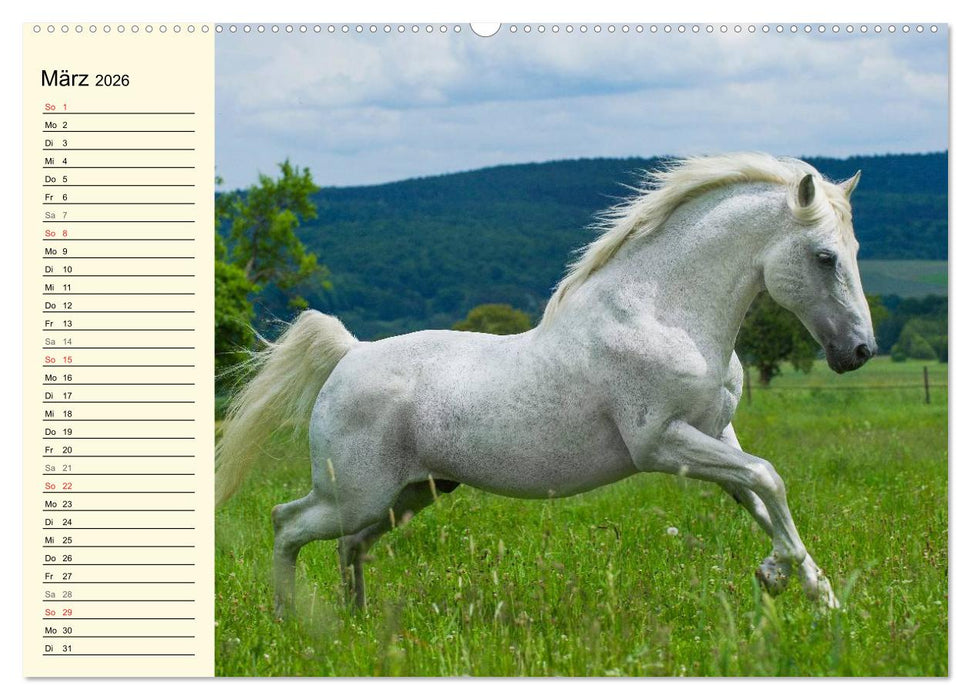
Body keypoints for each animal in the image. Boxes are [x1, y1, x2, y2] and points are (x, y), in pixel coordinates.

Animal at [215, 153, 875, 615]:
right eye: (824, 256)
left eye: (855, 248)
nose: (859, 351)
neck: (663, 313)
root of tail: (350, 354)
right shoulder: (661, 443)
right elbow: (770, 478)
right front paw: (781, 578)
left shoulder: (717, 435)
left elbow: (762, 496)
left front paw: (820, 598)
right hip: (355, 494)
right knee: (286, 523)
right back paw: (293, 624)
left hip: (409, 494)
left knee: (348, 546)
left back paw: (356, 624)